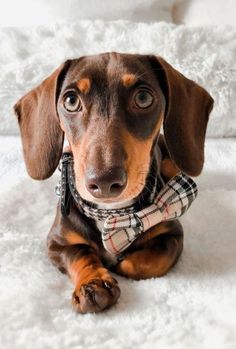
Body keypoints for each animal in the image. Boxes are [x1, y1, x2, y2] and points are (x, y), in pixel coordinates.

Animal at [14, 52, 214, 312]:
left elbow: (146, 261)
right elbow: (80, 254)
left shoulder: (173, 236)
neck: (112, 216)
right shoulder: (56, 243)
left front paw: (119, 263)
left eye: (143, 97)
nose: (104, 181)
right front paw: (93, 283)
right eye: (71, 101)